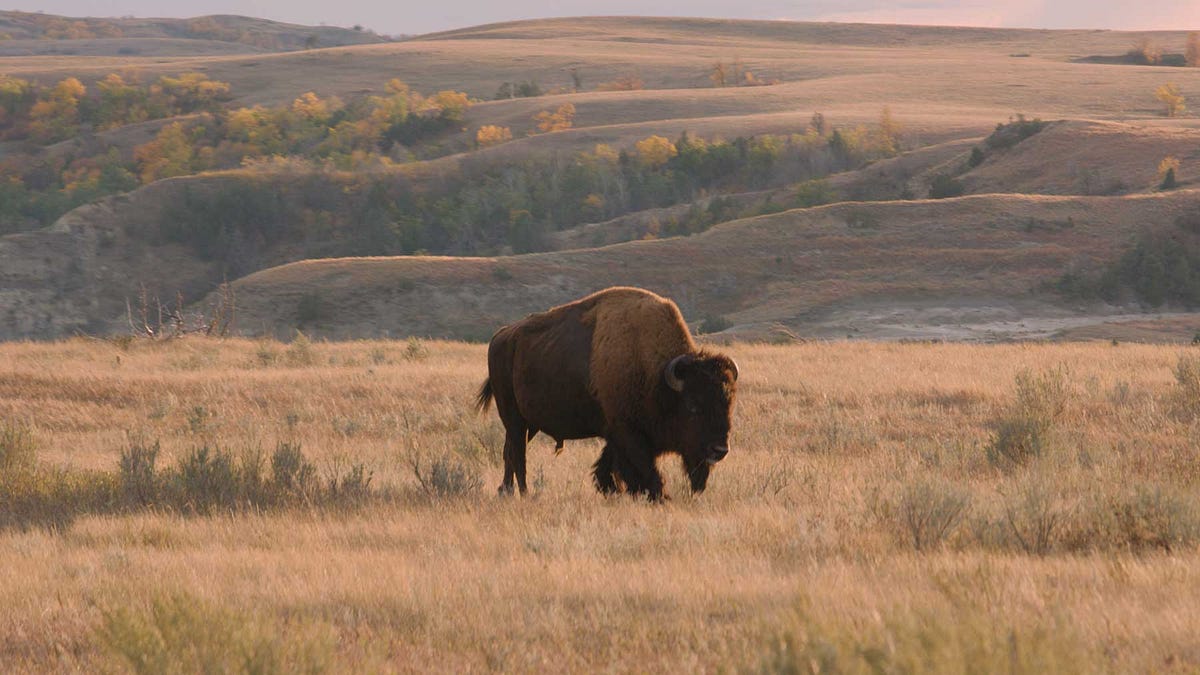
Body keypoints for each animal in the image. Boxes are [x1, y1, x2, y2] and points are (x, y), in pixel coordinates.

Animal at [475, 286, 738, 500]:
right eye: (693, 406)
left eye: (728, 404)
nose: (719, 450)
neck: (656, 375)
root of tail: (500, 336)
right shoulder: (628, 433)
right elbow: (643, 469)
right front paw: (659, 496)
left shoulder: (615, 432)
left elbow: (607, 465)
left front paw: (611, 489)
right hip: (514, 418)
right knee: (518, 455)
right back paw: (523, 493)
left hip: (529, 424)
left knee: (509, 452)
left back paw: (505, 491)